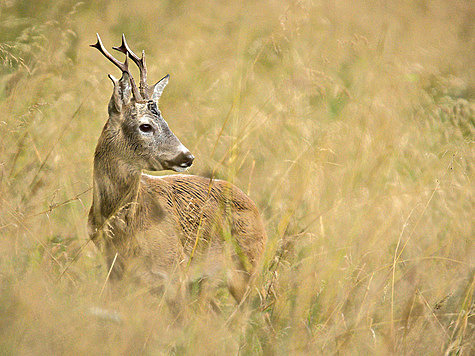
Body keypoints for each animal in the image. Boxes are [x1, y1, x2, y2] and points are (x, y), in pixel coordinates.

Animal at [88, 33, 268, 302]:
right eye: (145, 126)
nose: (187, 156)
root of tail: (254, 206)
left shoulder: (174, 271)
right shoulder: (115, 272)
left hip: (245, 270)